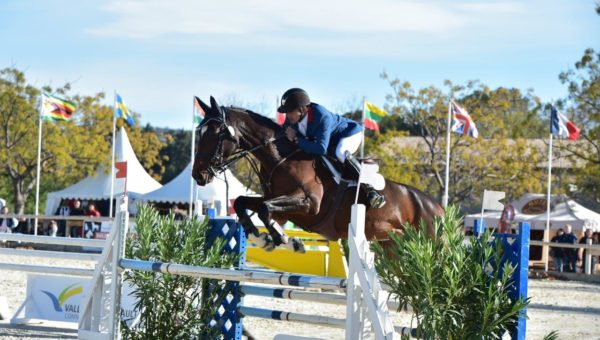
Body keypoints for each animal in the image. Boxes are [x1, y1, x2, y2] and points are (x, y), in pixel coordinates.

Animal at [190, 96, 442, 252]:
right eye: (200, 132)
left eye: (216, 133)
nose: (198, 176)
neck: (281, 159)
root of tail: (437, 206)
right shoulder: (277, 202)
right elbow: (244, 203)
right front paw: (259, 238)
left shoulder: (309, 204)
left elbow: (263, 210)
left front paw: (286, 241)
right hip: (390, 245)